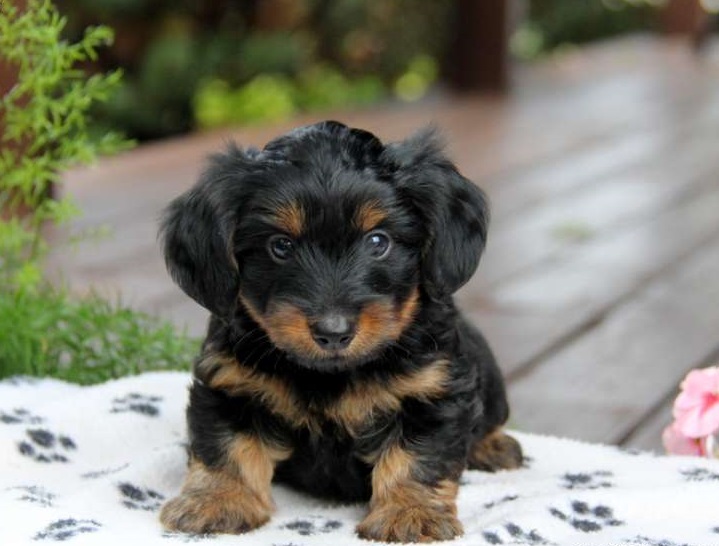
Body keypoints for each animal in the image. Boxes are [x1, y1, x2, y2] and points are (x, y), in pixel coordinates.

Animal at [159, 121, 524, 540]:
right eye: (280, 246)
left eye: (378, 241)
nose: (333, 332)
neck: (329, 374)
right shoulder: (230, 385)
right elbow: (226, 445)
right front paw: (217, 500)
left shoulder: (432, 392)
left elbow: (418, 455)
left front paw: (410, 513)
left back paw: (492, 446)